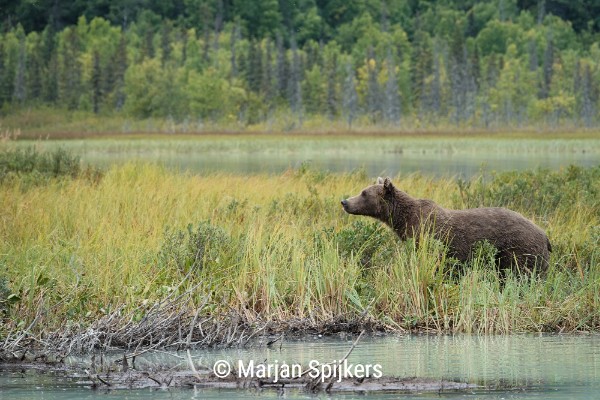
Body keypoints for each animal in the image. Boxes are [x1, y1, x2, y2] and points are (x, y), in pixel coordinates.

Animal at [342, 177, 552, 274]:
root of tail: (544, 234)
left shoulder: (428, 235)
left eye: (363, 193)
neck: (404, 220)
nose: (344, 202)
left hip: (519, 249)